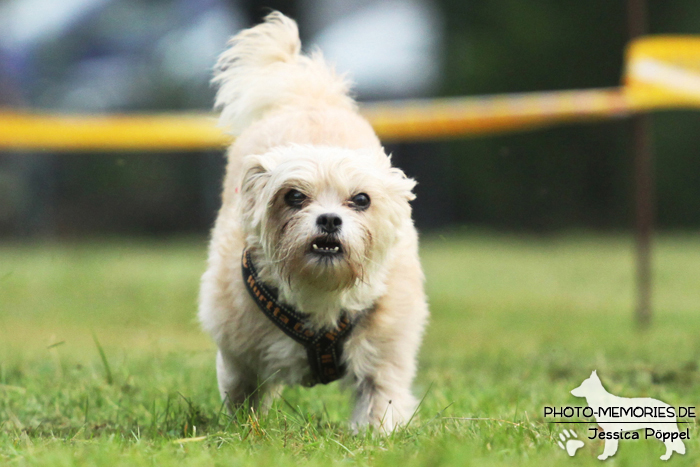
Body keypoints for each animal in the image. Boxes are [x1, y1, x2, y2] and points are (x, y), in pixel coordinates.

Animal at [196, 11, 426, 436]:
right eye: (294, 197)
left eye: (361, 199)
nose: (330, 219)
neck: (321, 296)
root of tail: (308, 97)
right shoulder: (238, 353)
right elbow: (241, 395)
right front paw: (242, 432)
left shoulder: (385, 357)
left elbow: (380, 402)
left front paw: (376, 436)